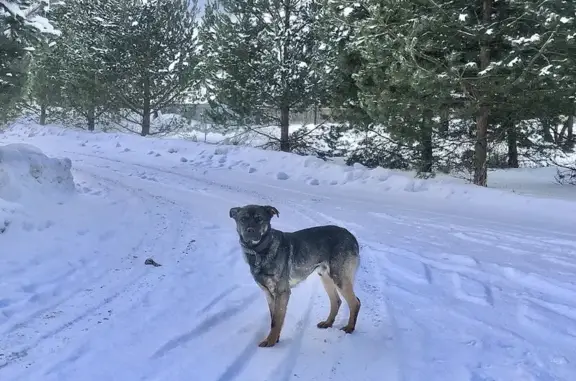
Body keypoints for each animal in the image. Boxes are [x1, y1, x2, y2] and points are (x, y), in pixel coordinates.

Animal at [228, 203, 360, 346]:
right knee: (336, 301)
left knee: (355, 302)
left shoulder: (282, 292)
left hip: (339, 278)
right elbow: (273, 317)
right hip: (326, 277)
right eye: (243, 219)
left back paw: (350, 328)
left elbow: (276, 320)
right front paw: (275, 339)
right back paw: (328, 323)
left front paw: (271, 342)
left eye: (259, 219)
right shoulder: (269, 294)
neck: (260, 250)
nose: (250, 230)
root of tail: (351, 236)